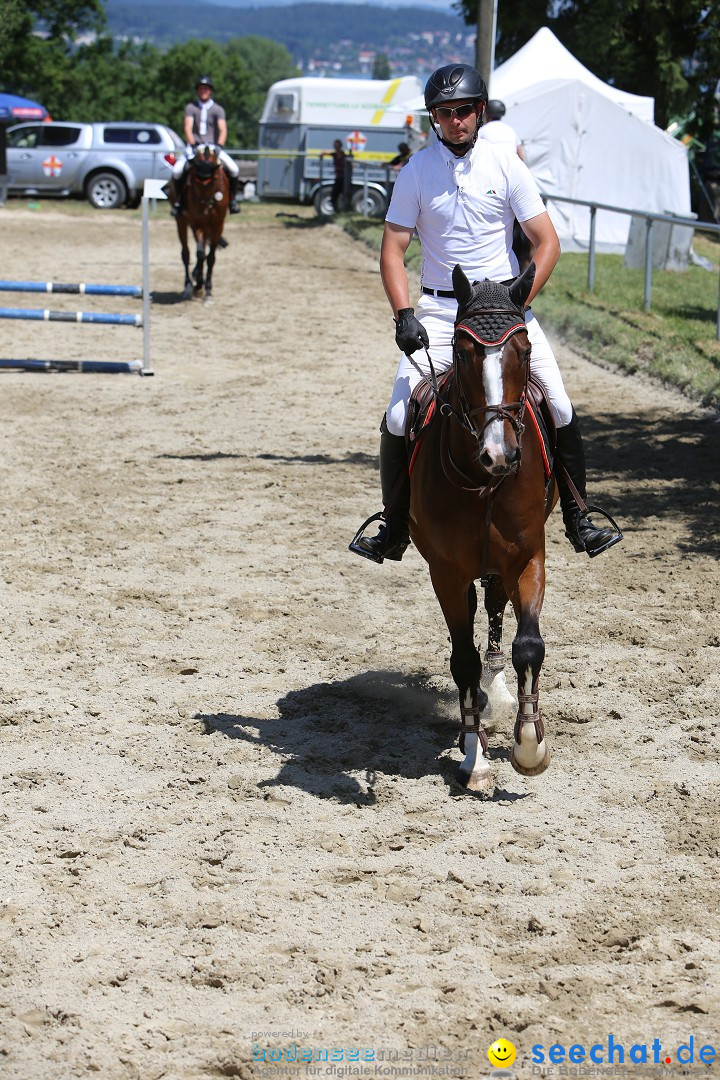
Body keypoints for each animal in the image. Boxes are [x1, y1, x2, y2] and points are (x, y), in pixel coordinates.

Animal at [169, 143, 227, 302]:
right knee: (186, 253)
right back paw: (189, 286)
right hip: (182, 221)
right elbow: (200, 254)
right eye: (194, 179)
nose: (202, 210)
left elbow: (211, 257)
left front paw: (208, 291)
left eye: (214, 179)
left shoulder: (218, 224)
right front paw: (199, 285)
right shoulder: (196, 223)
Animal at [410, 263, 557, 794]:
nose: (500, 454)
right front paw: (475, 757)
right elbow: (463, 658)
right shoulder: (446, 572)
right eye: (460, 351)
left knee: (495, 615)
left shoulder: (528, 557)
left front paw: (529, 747)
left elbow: (528, 645)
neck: (483, 479)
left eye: (525, 350)